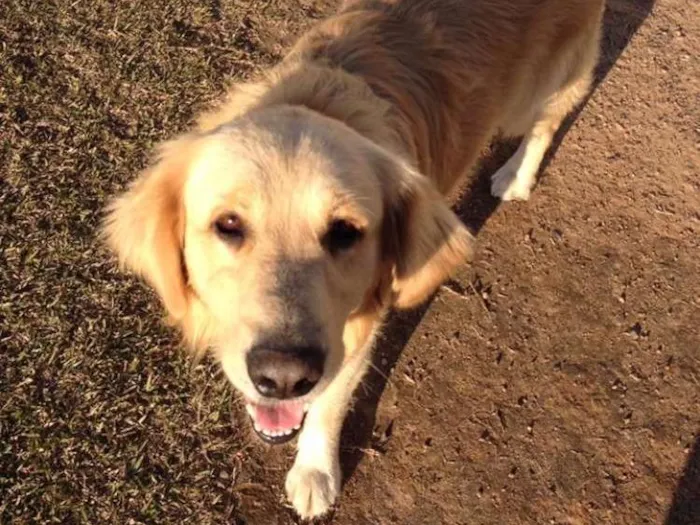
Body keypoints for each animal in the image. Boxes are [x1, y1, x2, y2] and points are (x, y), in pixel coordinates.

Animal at [101, 0, 604, 516]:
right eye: (228, 225)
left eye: (345, 231)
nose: (284, 378)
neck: (321, 98)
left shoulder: (356, 329)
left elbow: (327, 405)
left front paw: (315, 473)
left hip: (546, 85)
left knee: (546, 122)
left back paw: (515, 176)